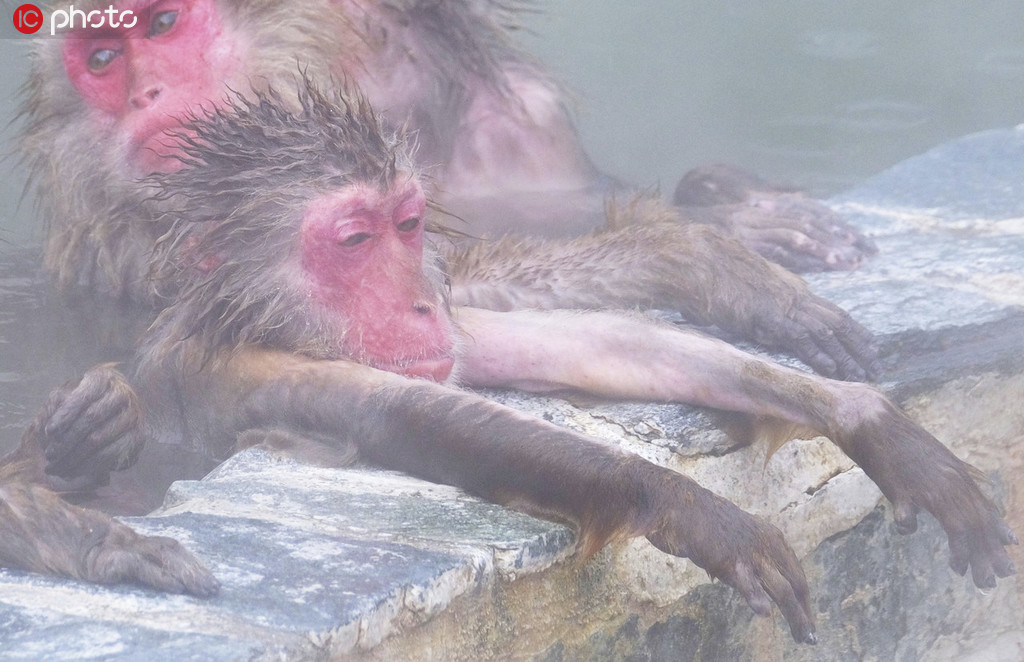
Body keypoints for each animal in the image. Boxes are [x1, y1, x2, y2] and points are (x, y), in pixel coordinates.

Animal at [2, 84, 1015, 647]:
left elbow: (578, 347)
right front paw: (687, 507)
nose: (419, 299)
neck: (268, 322)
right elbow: (409, 420)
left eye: (409, 225)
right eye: (355, 240)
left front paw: (869, 421)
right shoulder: (231, 368)